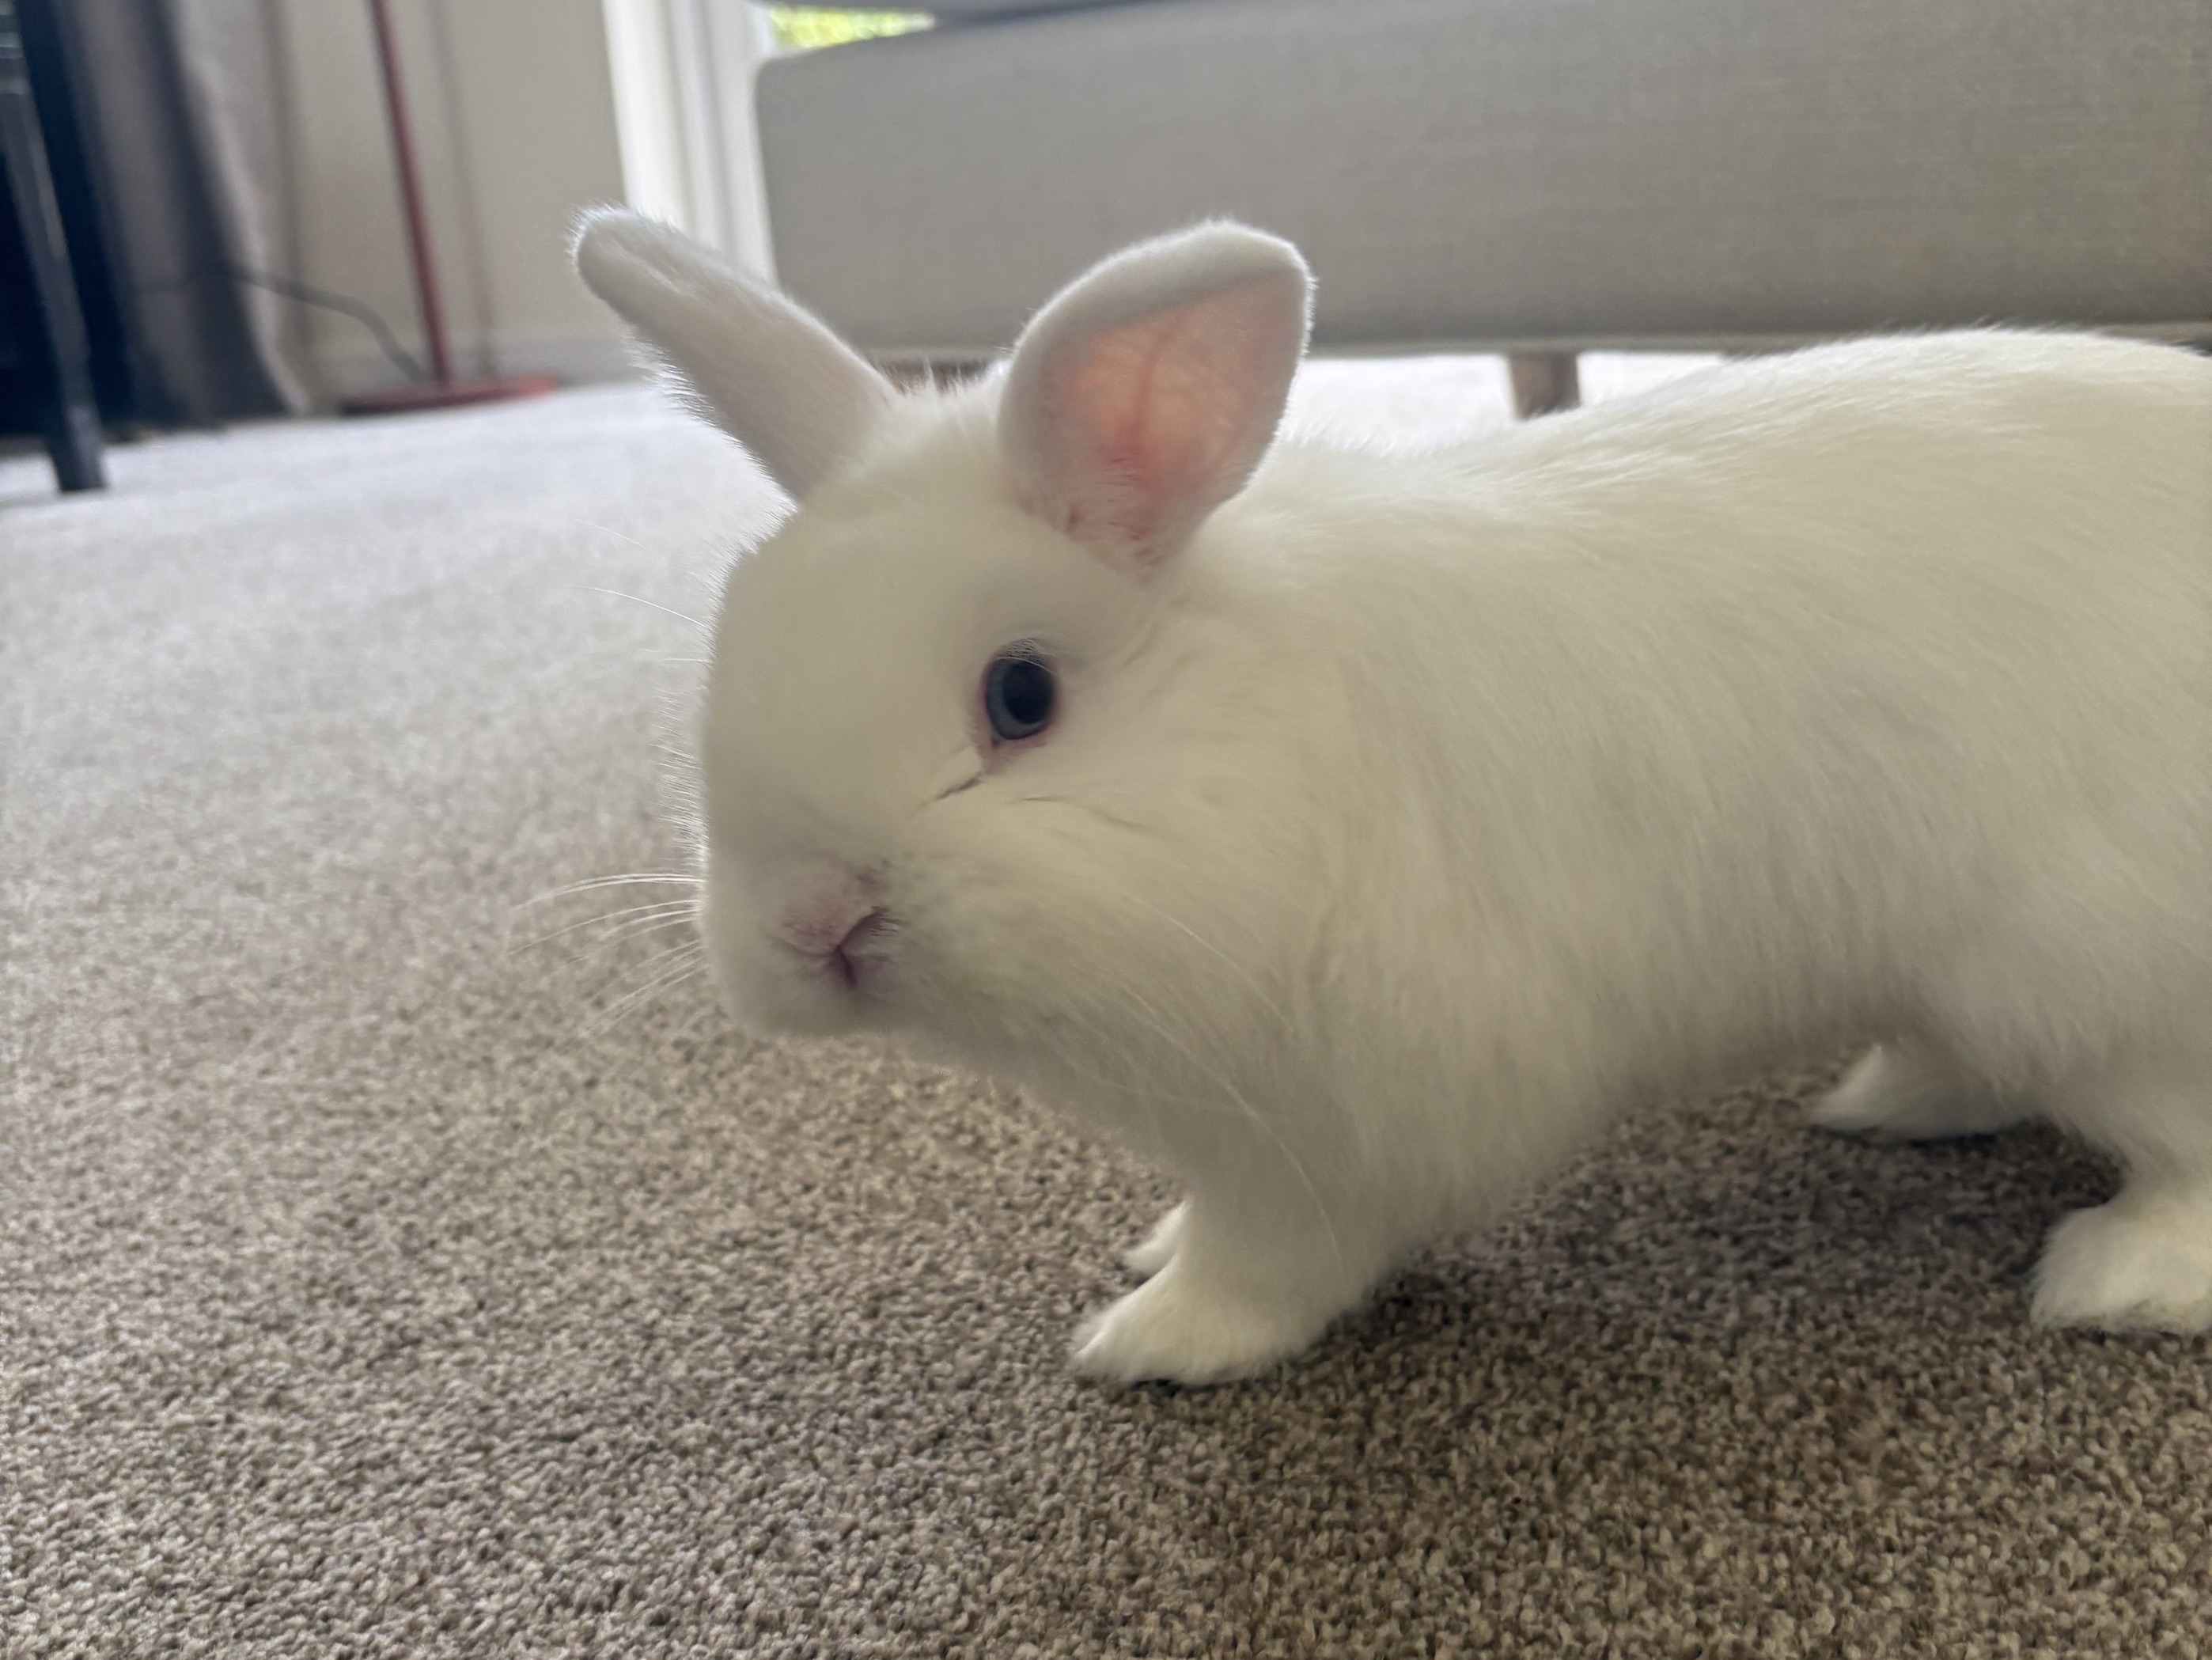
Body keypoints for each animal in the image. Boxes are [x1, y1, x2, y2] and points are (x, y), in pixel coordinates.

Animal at [573, 208, 2212, 1386]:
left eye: (1020, 696)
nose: (812, 921)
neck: (1256, 734)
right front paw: (1151, 1259)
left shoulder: (1336, 1119)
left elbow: (1272, 1261)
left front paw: (1153, 1341)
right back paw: (1886, 1102)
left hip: (2099, 982)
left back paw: (2111, 1276)